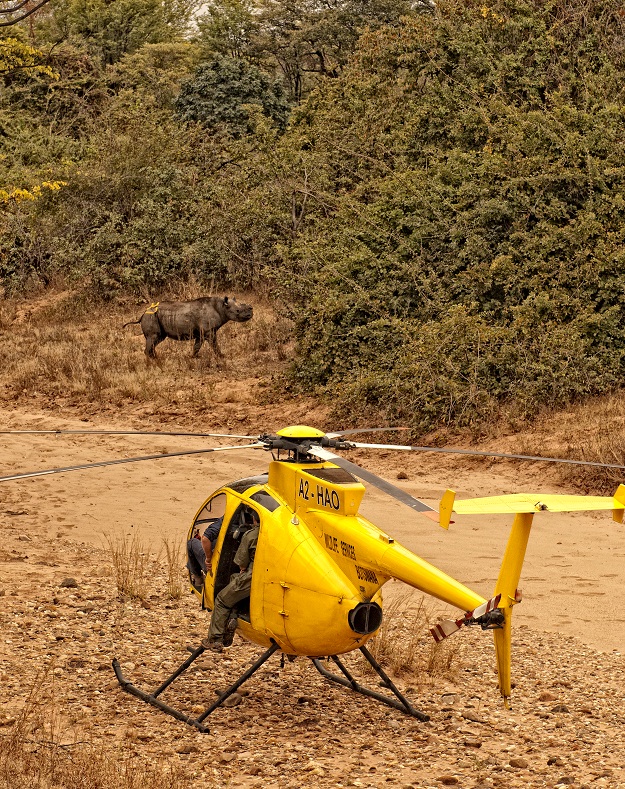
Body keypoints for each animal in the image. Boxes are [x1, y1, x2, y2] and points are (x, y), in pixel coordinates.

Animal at [124, 296, 254, 358]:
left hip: (154, 317)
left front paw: (193, 357)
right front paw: (222, 356)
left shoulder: (202, 332)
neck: (221, 306)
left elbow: (197, 346)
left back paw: (156, 358)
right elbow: (214, 344)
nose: (251, 313)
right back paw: (153, 360)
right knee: (153, 337)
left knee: (157, 339)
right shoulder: (209, 331)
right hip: (151, 316)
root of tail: (143, 313)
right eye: (238, 311)